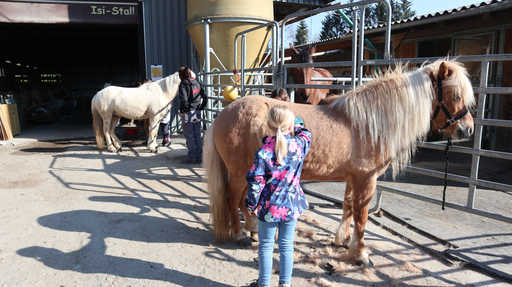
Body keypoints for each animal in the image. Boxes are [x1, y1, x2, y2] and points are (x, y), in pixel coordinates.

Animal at [202, 59, 474, 266]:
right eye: (455, 95)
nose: (468, 129)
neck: (370, 124)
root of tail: (223, 115)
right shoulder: (367, 180)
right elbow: (362, 216)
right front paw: (361, 254)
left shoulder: (353, 179)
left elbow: (348, 208)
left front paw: (342, 240)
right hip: (239, 173)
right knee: (231, 198)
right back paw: (241, 234)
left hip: (250, 172)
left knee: (242, 199)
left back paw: (252, 228)